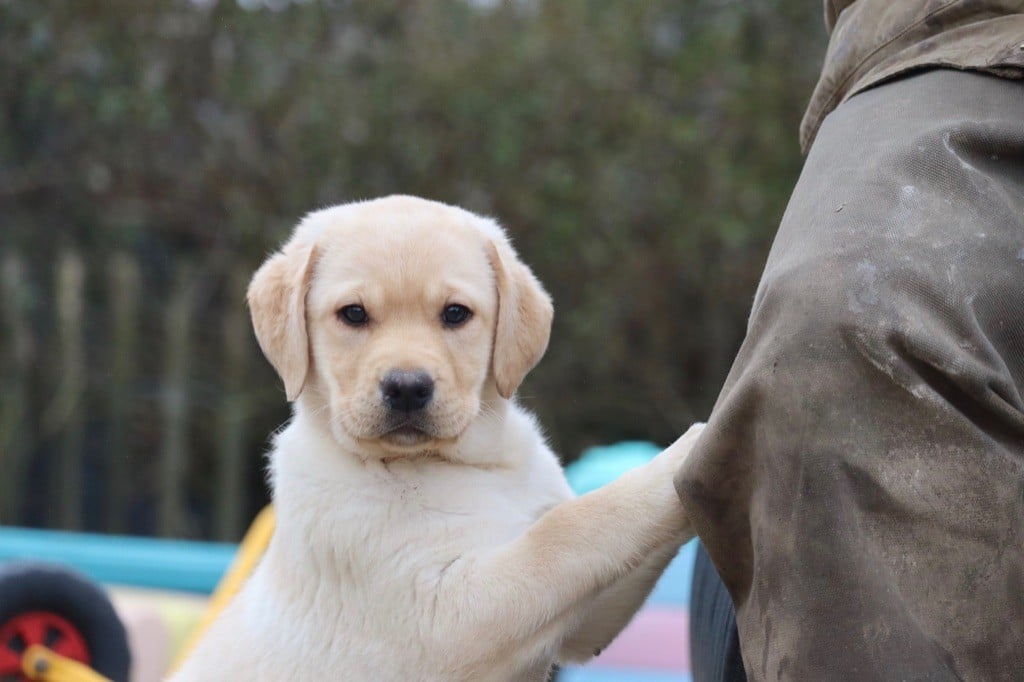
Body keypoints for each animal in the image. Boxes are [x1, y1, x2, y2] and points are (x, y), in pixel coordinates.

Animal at [174, 193, 704, 675]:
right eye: (353, 314)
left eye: (455, 313)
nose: (408, 388)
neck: (451, 463)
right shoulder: (445, 614)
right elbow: (571, 530)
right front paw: (684, 453)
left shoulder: (585, 626)